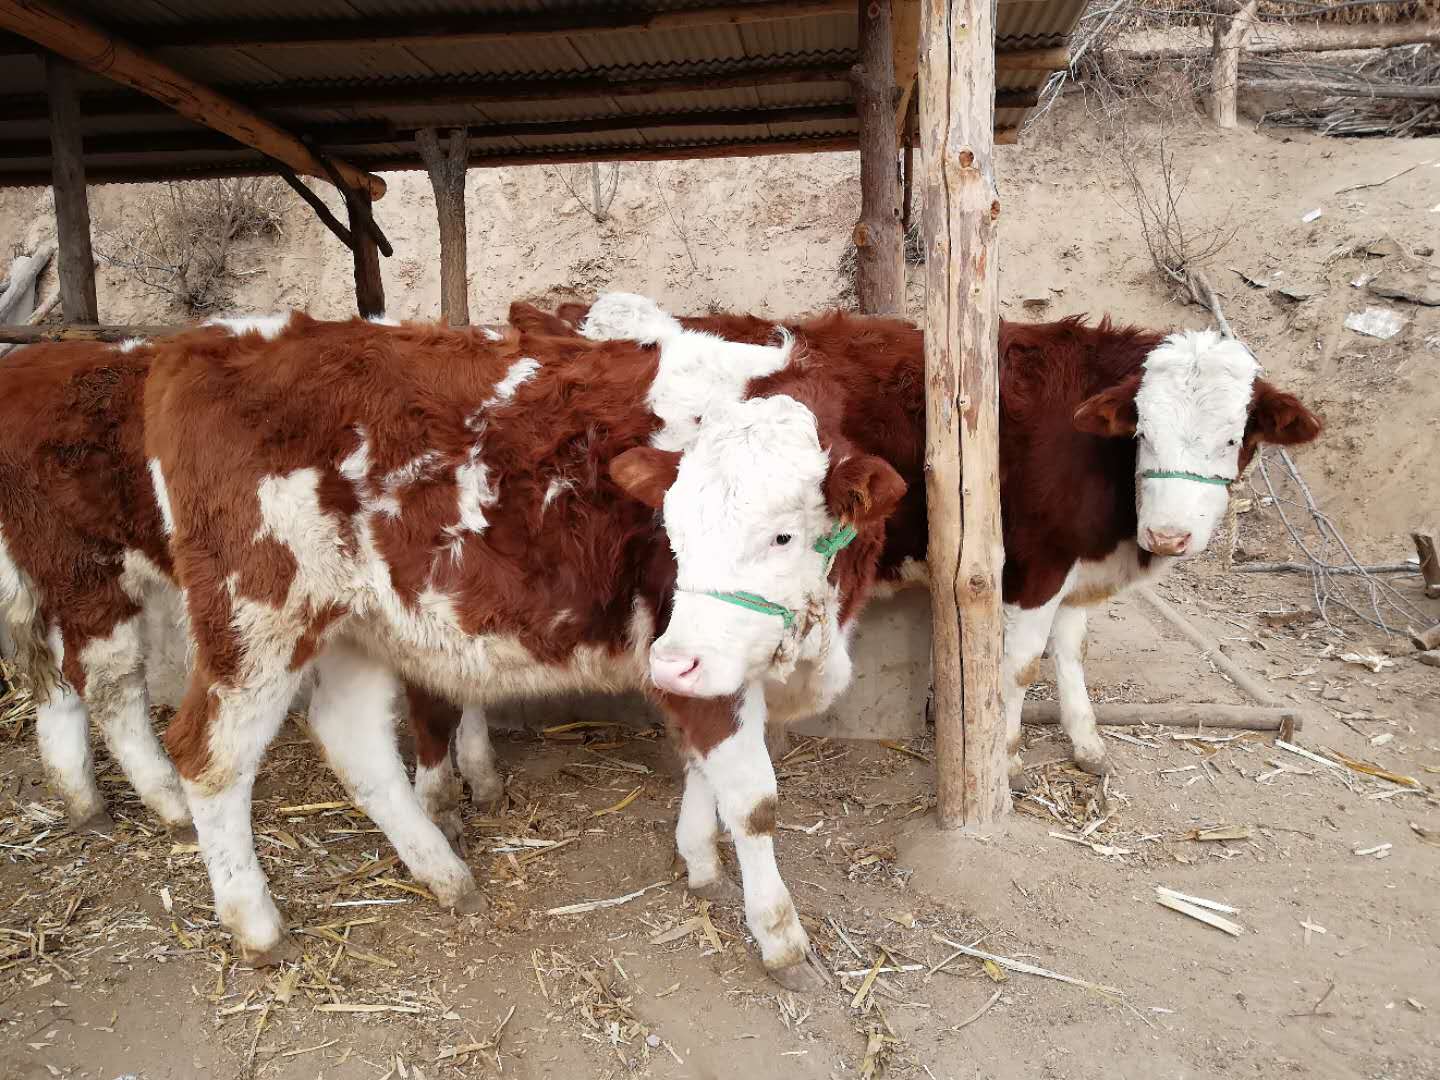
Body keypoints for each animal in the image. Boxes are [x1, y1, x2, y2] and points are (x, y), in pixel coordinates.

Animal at [137, 315, 898, 990]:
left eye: (782, 536)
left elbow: (702, 765)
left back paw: (445, 875)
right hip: (256, 615)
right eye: (672, 529)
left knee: (353, 742)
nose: (672, 659)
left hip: (356, 620)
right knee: (210, 756)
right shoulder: (686, 647)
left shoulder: (715, 656)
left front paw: (698, 857)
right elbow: (752, 798)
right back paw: (256, 924)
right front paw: (780, 937)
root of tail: (197, 345)